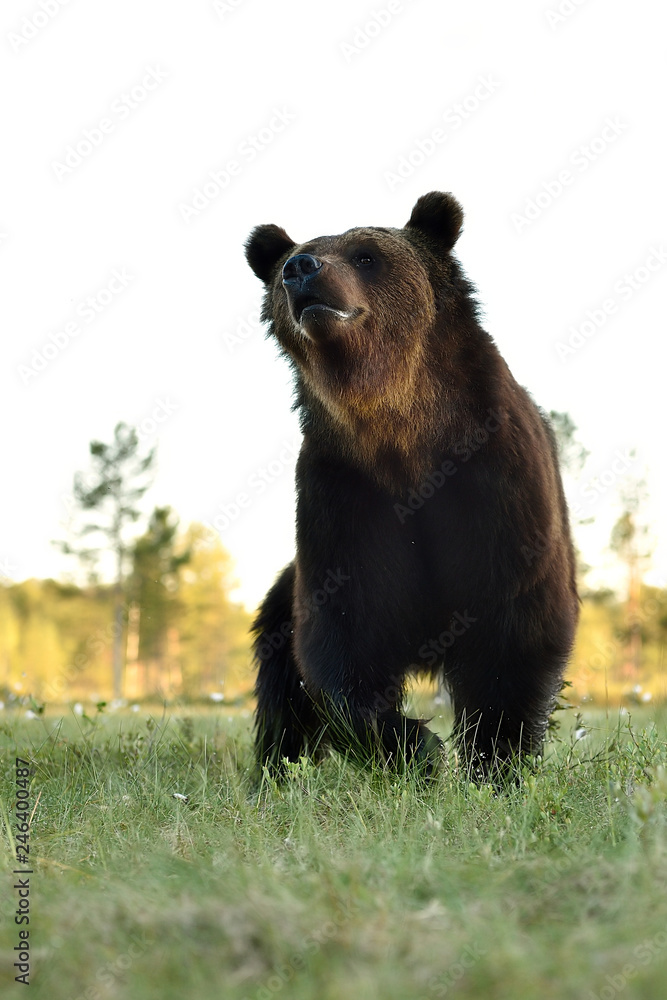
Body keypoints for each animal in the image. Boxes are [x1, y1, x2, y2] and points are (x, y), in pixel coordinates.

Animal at [245, 191, 579, 777]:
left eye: (365, 255)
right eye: (297, 254)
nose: (299, 268)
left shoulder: (493, 478)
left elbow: (512, 628)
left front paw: (494, 760)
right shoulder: (344, 493)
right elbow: (341, 635)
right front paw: (417, 748)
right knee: (281, 691)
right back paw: (273, 774)